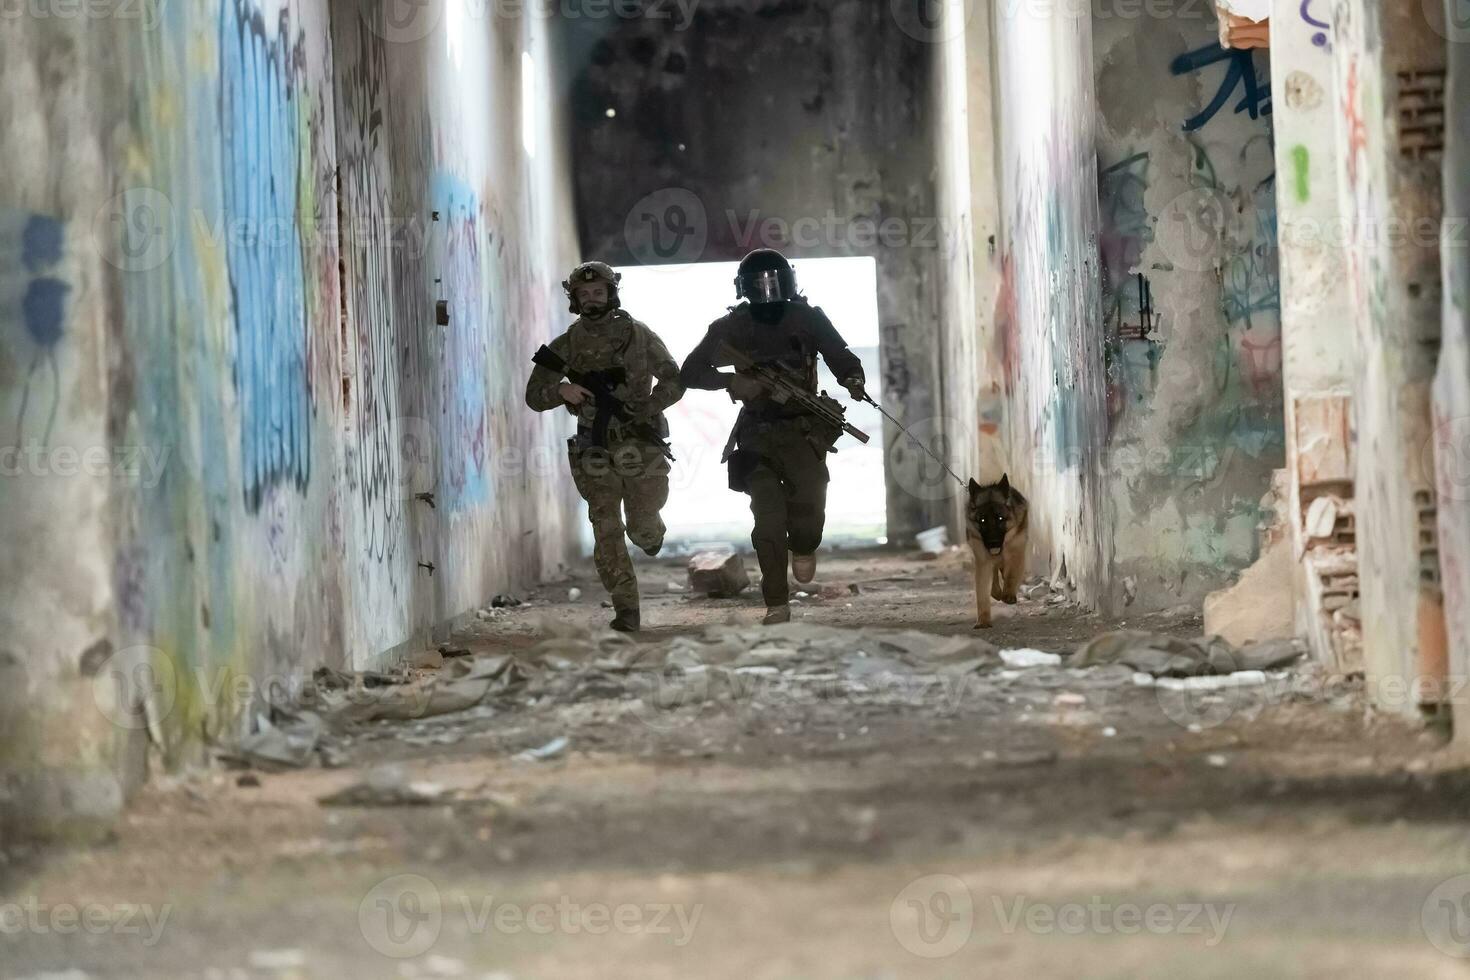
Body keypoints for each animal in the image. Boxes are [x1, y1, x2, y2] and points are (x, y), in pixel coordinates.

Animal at [970, 476, 1029, 631]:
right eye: (982, 520)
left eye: (1000, 518)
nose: (993, 543)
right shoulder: (983, 560)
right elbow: (982, 592)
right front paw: (983, 620)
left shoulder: (1016, 552)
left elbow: (1011, 575)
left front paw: (1008, 594)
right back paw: (996, 591)